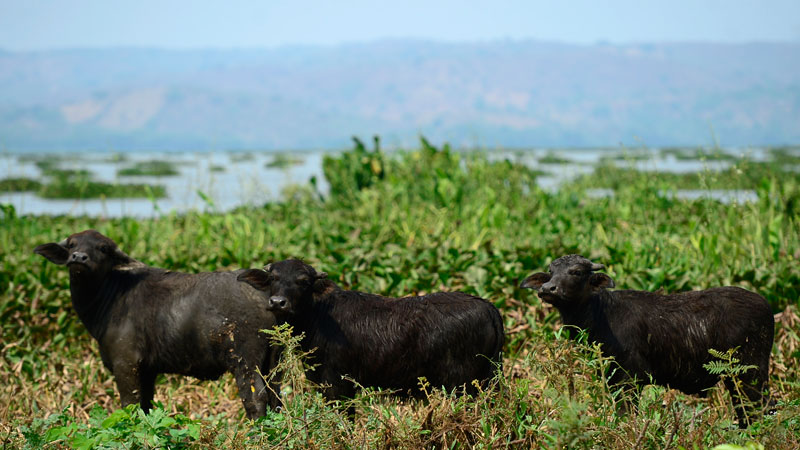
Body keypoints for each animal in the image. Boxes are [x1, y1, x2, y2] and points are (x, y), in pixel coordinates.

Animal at [36, 230, 282, 420]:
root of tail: (267, 293)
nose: (79, 257)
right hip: (274, 360)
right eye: (71, 244)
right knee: (276, 395)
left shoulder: (126, 364)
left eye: (103, 248)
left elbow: (130, 404)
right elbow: (146, 405)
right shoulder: (148, 371)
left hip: (245, 361)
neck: (111, 294)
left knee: (255, 396)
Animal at [234, 258, 504, 402]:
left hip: (462, 385)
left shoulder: (337, 385)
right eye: (273, 279)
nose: (278, 302)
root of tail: (487, 305)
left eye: (303, 281)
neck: (319, 316)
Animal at [520, 255, 776, 428]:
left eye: (575, 272)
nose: (547, 288)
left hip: (750, 373)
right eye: (551, 271)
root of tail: (766, 306)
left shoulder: (630, 379)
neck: (602, 314)